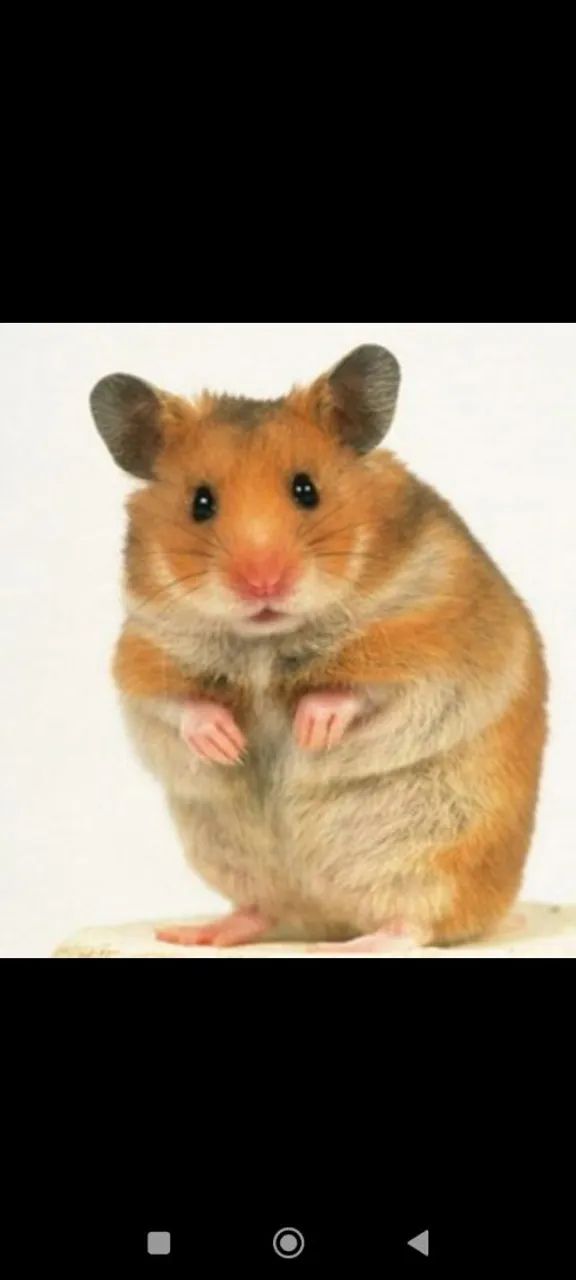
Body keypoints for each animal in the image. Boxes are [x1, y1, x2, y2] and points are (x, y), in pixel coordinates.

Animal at [90, 345, 548, 953]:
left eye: (306, 489)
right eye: (200, 503)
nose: (262, 583)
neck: (266, 641)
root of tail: (325, 913)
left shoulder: (432, 641)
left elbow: (363, 692)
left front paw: (311, 731)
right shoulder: (142, 651)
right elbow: (177, 705)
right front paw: (226, 743)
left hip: (437, 857)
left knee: (414, 925)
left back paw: (346, 945)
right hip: (234, 857)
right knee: (263, 909)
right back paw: (195, 933)